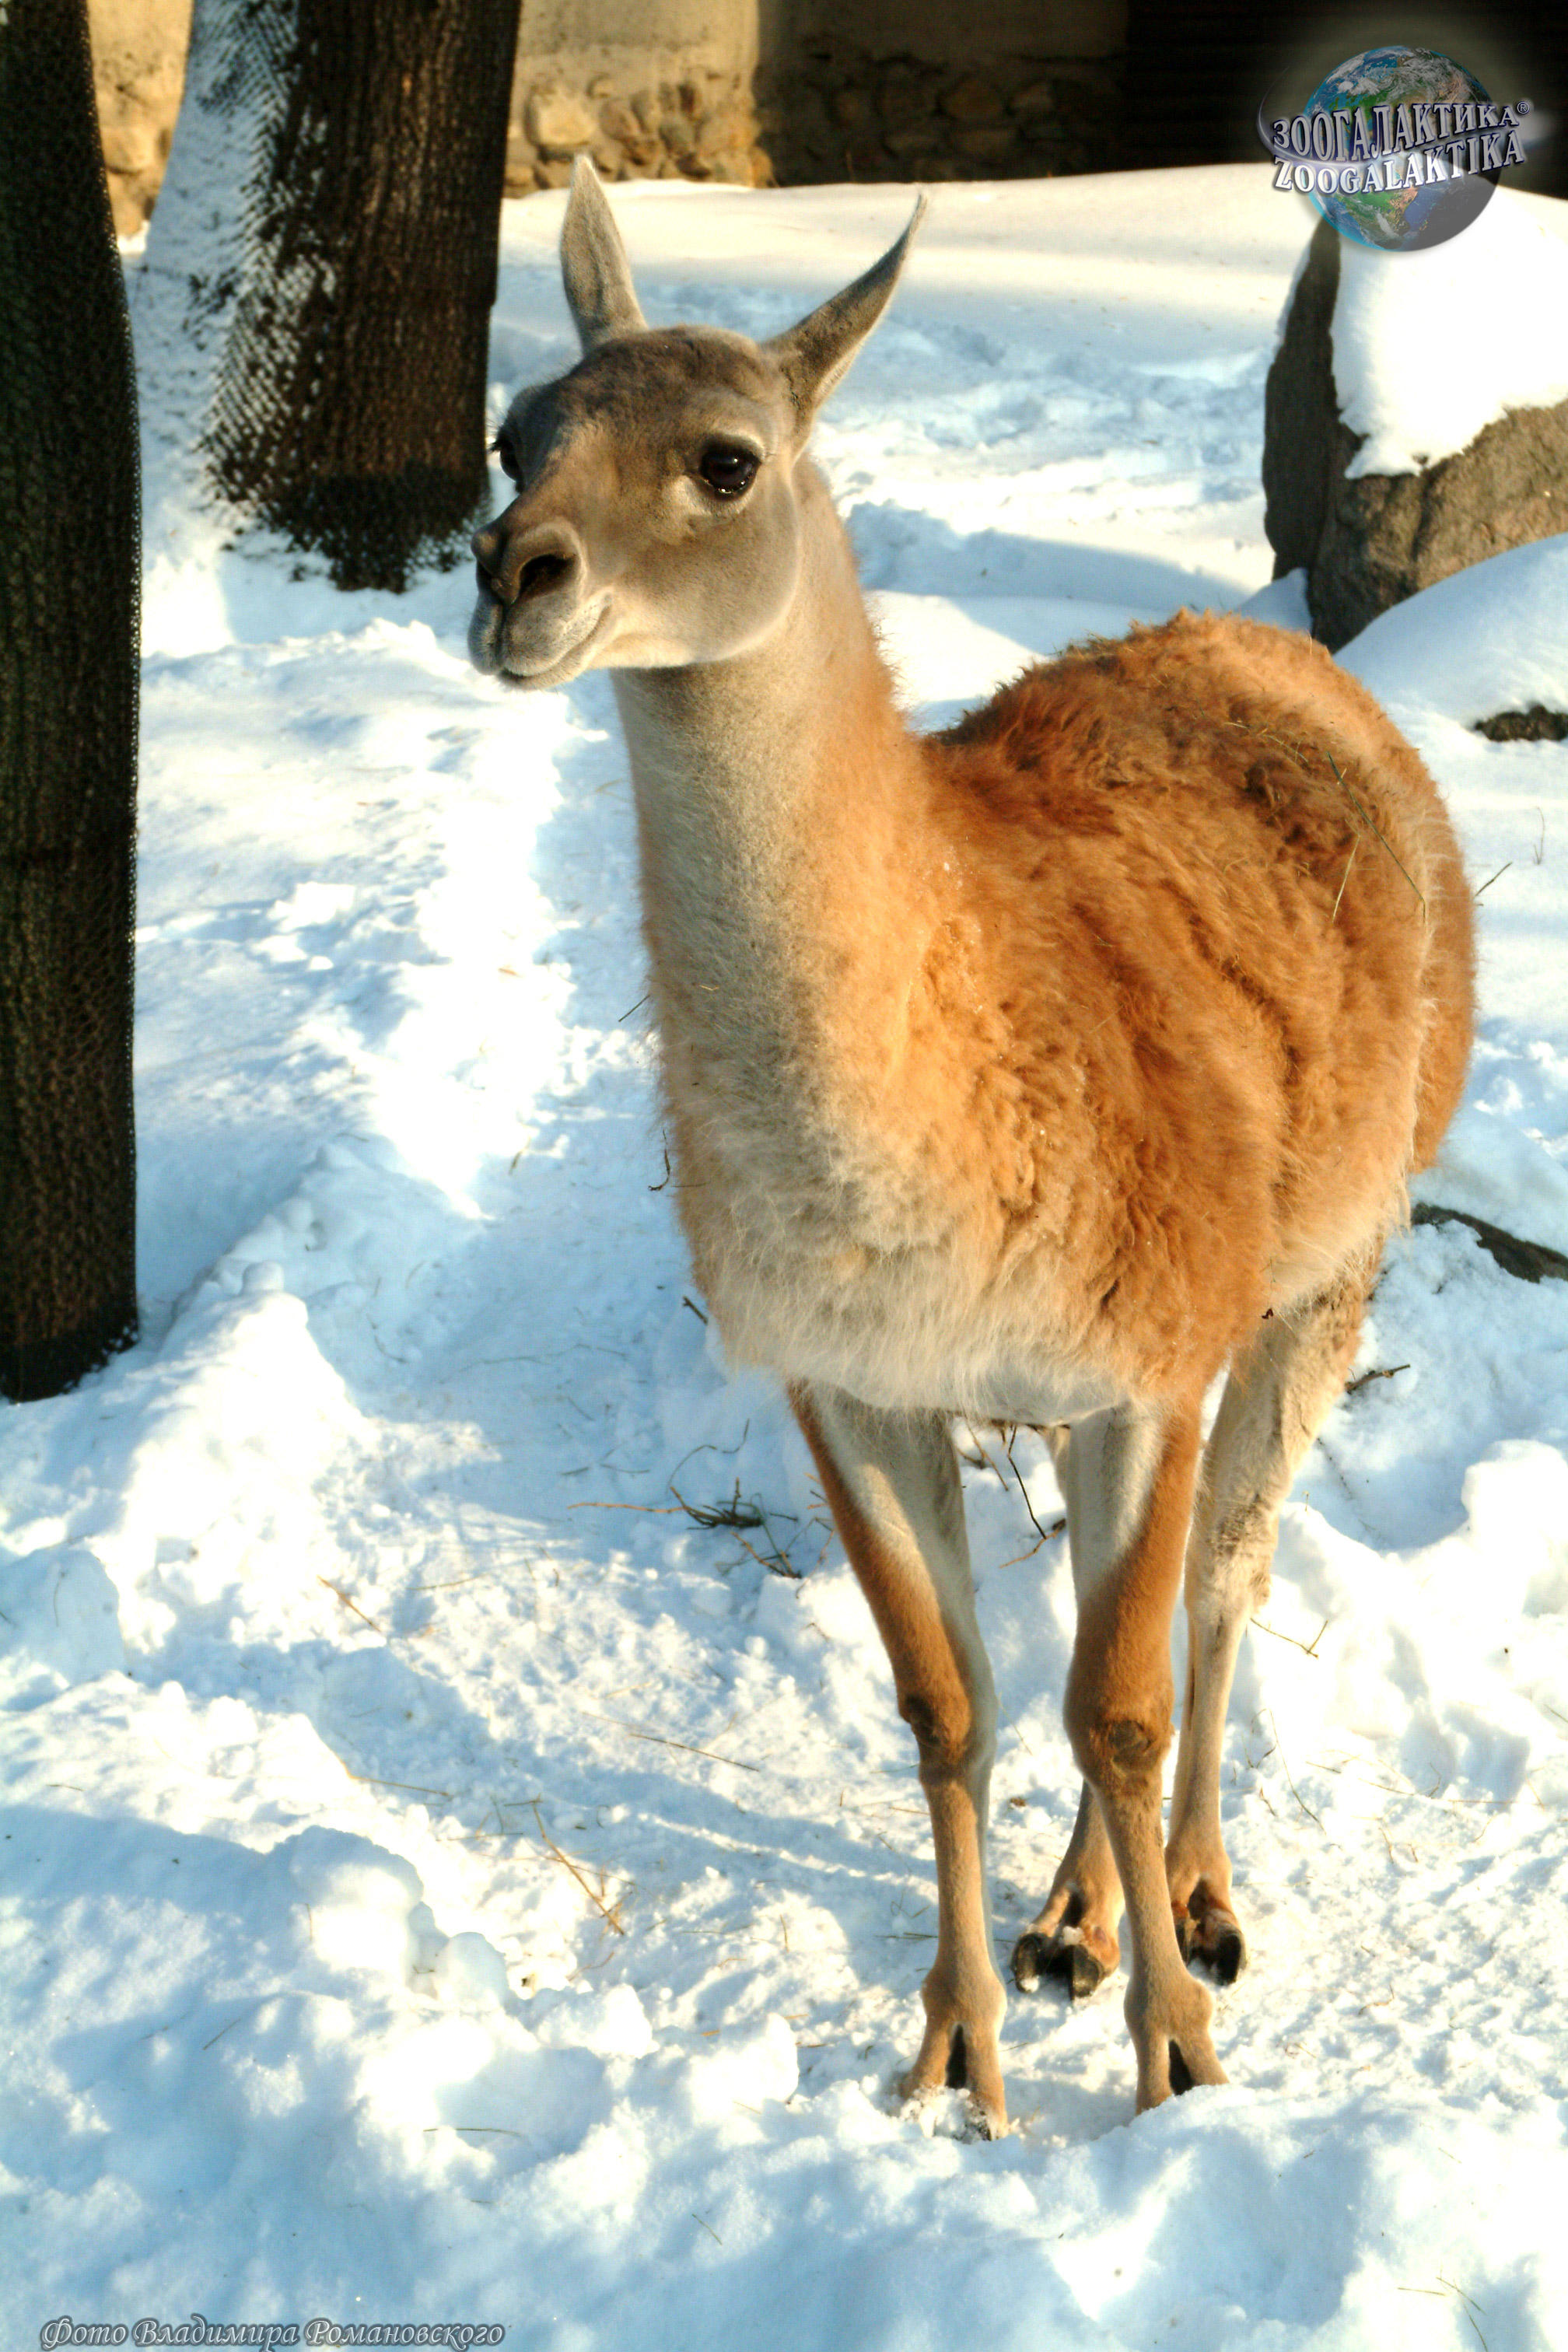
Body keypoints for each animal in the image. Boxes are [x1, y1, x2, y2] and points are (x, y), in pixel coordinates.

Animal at [468, 163, 1475, 2135]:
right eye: (513, 433)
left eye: (726, 459)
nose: (514, 578)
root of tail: (1270, 645)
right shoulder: (852, 1381)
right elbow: (953, 1701)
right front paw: (953, 2048)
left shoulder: (1148, 1357)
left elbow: (1123, 1700)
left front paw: (1177, 2053)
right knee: (1102, 1623)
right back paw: (1074, 1918)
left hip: (1328, 1262)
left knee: (1219, 1584)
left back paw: (1196, 1897)